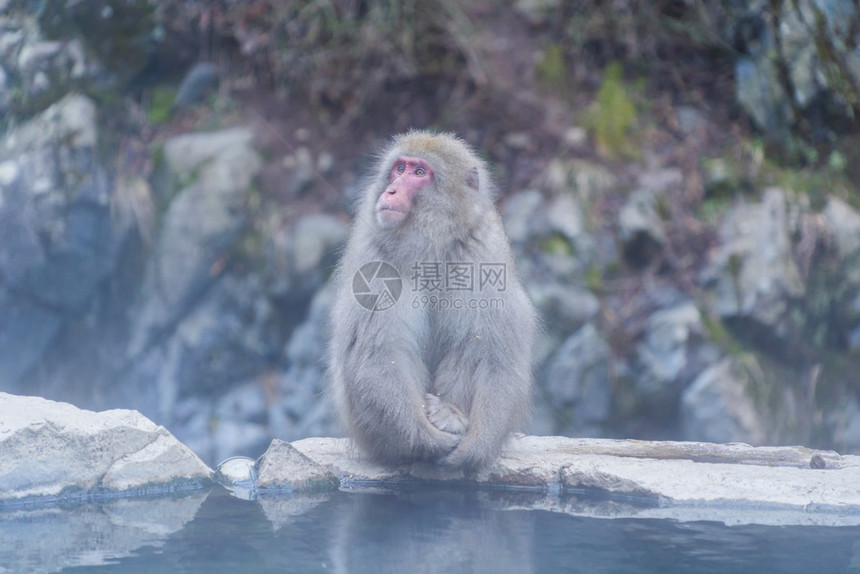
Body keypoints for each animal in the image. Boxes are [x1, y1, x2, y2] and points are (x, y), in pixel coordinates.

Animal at [330, 132, 536, 472]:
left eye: (419, 173)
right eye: (400, 168)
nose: (391, 190)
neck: (431, 247)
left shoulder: (484, 252)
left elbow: (495, 355)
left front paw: (476, 447)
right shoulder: (374, 254)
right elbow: (378, 353)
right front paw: (425, 439)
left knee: (468, 348)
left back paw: (449, 416)